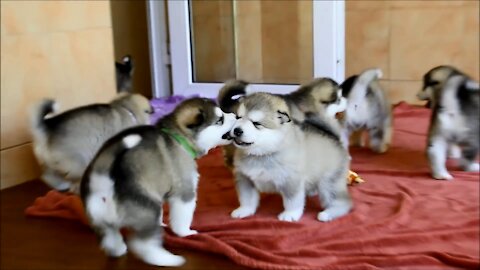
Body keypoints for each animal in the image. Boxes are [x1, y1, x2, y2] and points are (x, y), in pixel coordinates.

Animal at [80, 98, 236, 266]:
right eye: (220, 120)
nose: (235, 116)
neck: (178, 137)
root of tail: (103, 179)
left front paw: (162, 223)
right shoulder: (185, 191)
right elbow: (183, 215)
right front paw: (185, 233)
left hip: (101, 220)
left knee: (110, 238)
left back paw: (118, 250)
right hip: (147, 209)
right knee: (143, 244)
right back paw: (167, 259)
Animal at [225, 92, 352, 223]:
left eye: (256, 123)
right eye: (238, 117)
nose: (237, 130)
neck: (263, 154)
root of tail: (334, 138)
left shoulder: (291, 181)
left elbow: (292, 201)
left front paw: (290, 215)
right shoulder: (245, 179)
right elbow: (247, 198)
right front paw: (244, 210)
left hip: (329, 182)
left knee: (341, 201)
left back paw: (328, 213)